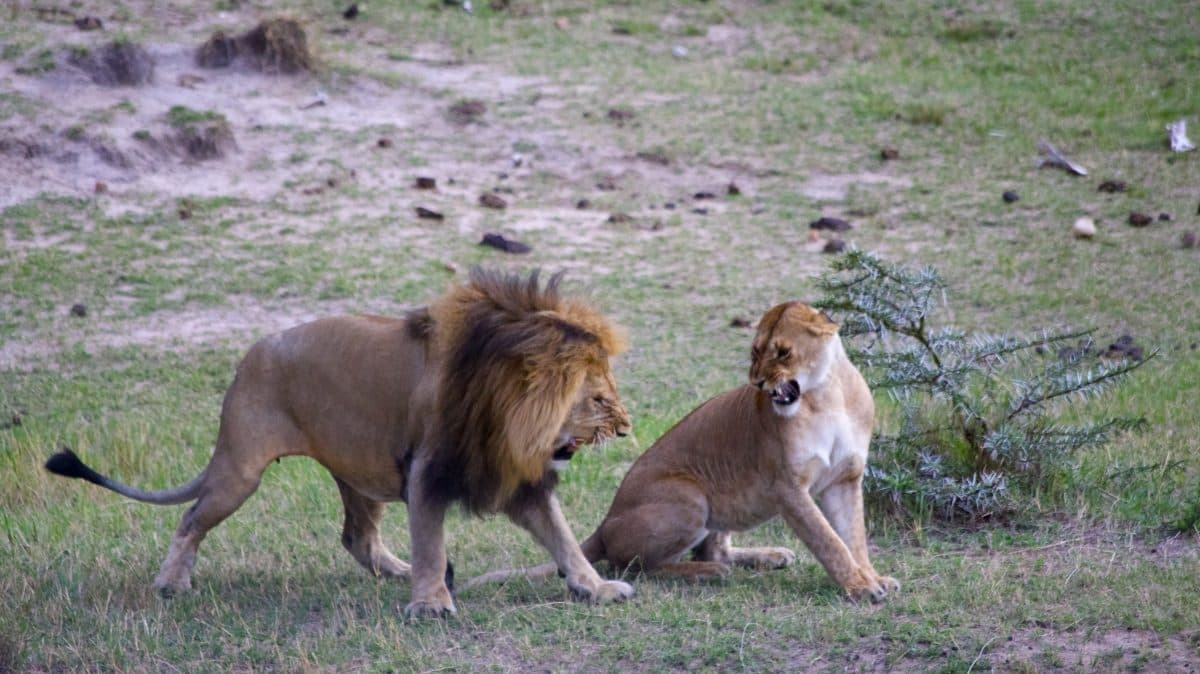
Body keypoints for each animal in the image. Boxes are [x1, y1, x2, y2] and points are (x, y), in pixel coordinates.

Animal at [44, 269, 636, 618]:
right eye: (599, 398)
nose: (627, 429)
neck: (502, 407)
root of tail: (246, 359)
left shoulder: (518, 479)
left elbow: (562, 538)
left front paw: (596, 587)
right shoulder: (427, 470)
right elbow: (431, 541)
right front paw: (431, 602)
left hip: (362, 475)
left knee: (358, 538)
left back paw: (398, 573)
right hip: (241, 470)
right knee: (190, 519)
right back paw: (172, 583)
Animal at [465, 301, 898, 602]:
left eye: (783, 352)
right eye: (755, 352)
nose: (757, 383)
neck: (826, 397)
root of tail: (604, 523)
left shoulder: (845, 478)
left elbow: (853, 537)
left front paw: (873, 578)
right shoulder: (789, 488)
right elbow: (830, 542)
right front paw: (860, 587)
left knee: (714, 549)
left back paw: (767, 556)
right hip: (691, 497)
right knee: (636, 566)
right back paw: (707, 573)